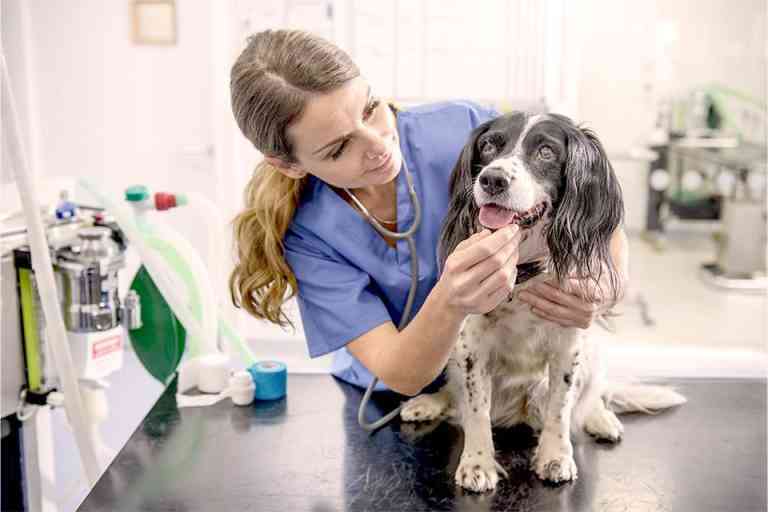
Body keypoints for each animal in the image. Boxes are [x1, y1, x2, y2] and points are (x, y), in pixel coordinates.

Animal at [400, 112, 688, 492]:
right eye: (489, 144)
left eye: (546, 152)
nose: (492, 179)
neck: (524, 271)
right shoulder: (472, 346)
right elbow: (476, 410)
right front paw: (477, 462)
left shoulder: (569, 346)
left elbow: (560, 409)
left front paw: (555, 456)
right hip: (454, 353)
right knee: (455, 394)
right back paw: (428, 403)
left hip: (592, 349)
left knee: (593, 395)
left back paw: (602, 419)